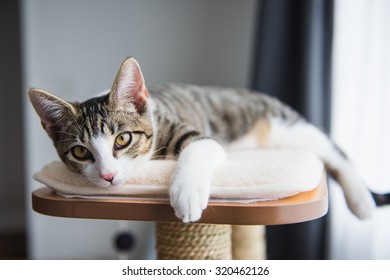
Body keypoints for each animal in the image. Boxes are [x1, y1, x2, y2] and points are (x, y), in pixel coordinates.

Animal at [29, 57, 376, 223]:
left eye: (123, 139)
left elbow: (200, 148)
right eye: (80, 152)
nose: (108, 175)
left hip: (283, 126)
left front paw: (186, 194)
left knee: (332, 149)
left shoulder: (192, 131)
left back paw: (361, 201)